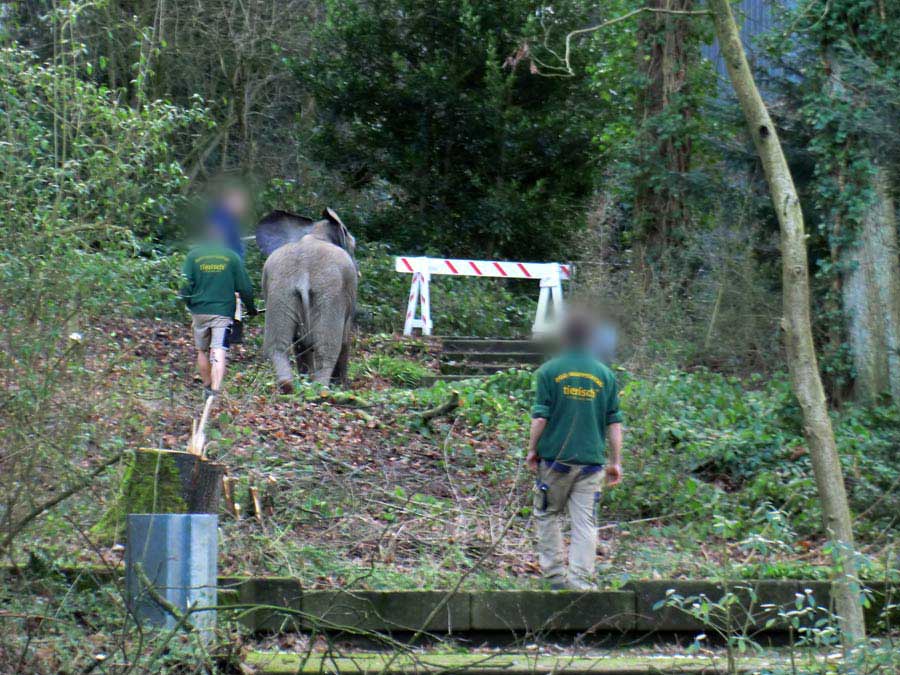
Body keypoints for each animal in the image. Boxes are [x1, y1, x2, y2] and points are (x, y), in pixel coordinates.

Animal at [258, 210, 356, 390]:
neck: (315, 232)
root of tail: (303, 276)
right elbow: (345, 337)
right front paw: (342, 387)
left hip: (280, 291)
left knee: (277, 345)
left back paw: (288, 387)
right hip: (330, 293)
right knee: (326, 348)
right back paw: (321, 390)